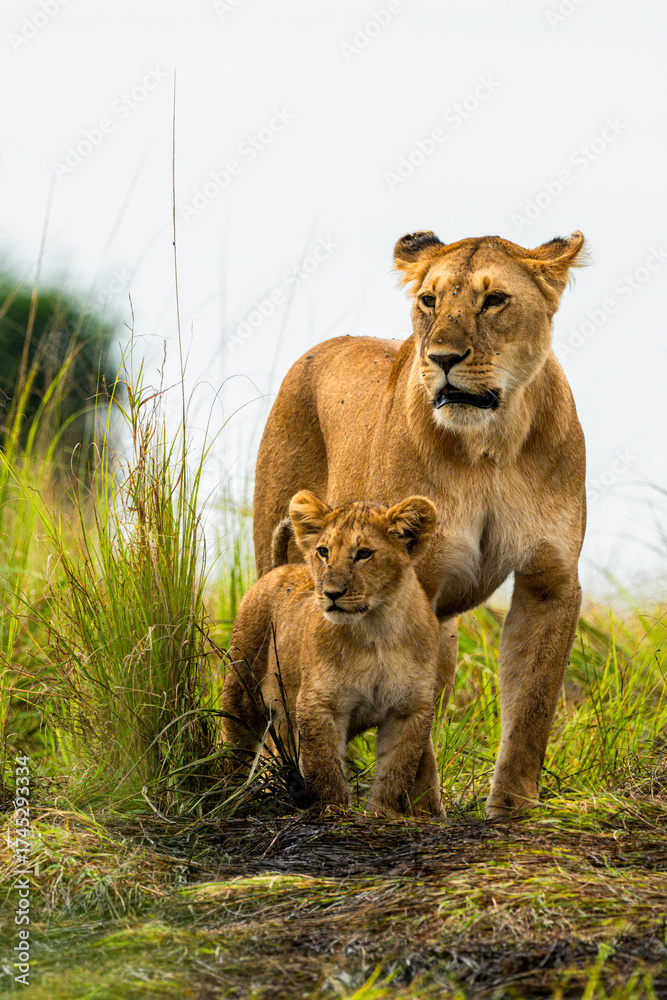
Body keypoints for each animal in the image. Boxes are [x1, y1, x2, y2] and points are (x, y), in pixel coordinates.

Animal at [221, 490, 443, 817]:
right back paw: (229, 796)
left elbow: (397, 769)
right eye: (323, 552)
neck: (377, 631)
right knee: (237, 745)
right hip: (242, 686)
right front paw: (333, 810)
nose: (331, 593)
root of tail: (280, 568)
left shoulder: (409, 709)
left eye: (364, 553)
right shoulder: (319, 703)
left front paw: (382, 814)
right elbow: (324, 765)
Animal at [252, 230, 588, 818]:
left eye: (494, 300)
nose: (443, 358)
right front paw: (417, 812)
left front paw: (513, 809)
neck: (491, 446)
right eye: (428, 301)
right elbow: (414, 728)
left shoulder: (550, 578)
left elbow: (533, 704)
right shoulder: (420, 582)